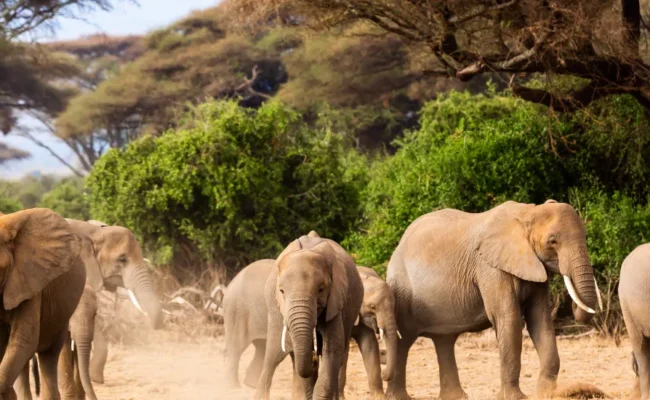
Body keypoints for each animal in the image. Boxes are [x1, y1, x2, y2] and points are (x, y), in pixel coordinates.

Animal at [254, 233, 364, 400]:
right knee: (273, 355)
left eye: (321, 289)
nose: (313, 359)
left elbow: (332, 351)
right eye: (281, 291)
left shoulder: (335, 302)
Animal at [384, 200, 601, 400]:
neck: (528, 212)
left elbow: (540, 321)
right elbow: (509, 319)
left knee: (444, 340)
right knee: (403, 340)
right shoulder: (490, 268)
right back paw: (397, 397)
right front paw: (516, 398)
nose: (572, 307)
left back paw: (456, 397)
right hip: (401, 289)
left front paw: (545, 394)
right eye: (553, 241)